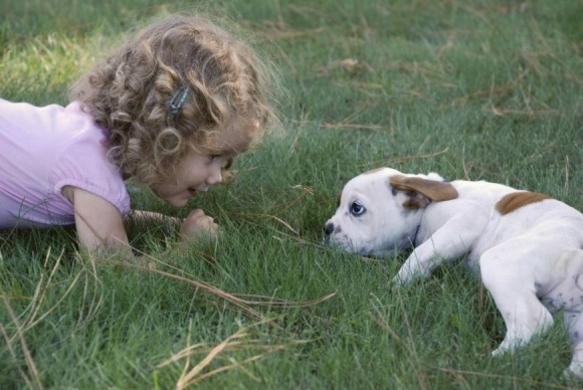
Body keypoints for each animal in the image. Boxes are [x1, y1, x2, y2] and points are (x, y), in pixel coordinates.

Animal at [326, 166, 583, 376]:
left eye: (356, 208)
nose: (326, 228)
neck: (428, 204)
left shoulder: (465, 221)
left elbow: (420, 253)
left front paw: (394, 287)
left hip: (501, 262)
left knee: (534, 321)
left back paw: (489, 362)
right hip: (574, 322)